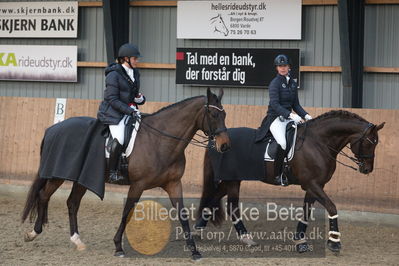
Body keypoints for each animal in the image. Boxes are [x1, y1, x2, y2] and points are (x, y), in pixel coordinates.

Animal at [21, 88, 231, 260]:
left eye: (225, 114)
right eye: (213, 114)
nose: (224, 145)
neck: (160, 140)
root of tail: (53, 129)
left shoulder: (173, 184)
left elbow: (182, 214)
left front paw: (194, 251)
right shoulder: (138, 184)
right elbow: (127, 212)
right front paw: (118, 247)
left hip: (82, 178)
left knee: (72, 203)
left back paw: (77, 240)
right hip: (58, 175)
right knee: (44, 195)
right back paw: (33, 233)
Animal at [195, 110, 386, 254]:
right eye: (370, 142)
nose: (367, 169)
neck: (319, 143)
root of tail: (217, 141)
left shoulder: (316, 185)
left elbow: (307, 211)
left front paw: (300, 241)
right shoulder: (311, 184)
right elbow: (332, 207)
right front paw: (334, 242)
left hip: (232, 179)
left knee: (213, 200)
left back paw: (199, 231)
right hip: (233, 179)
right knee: (231, 206)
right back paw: (245, 237)